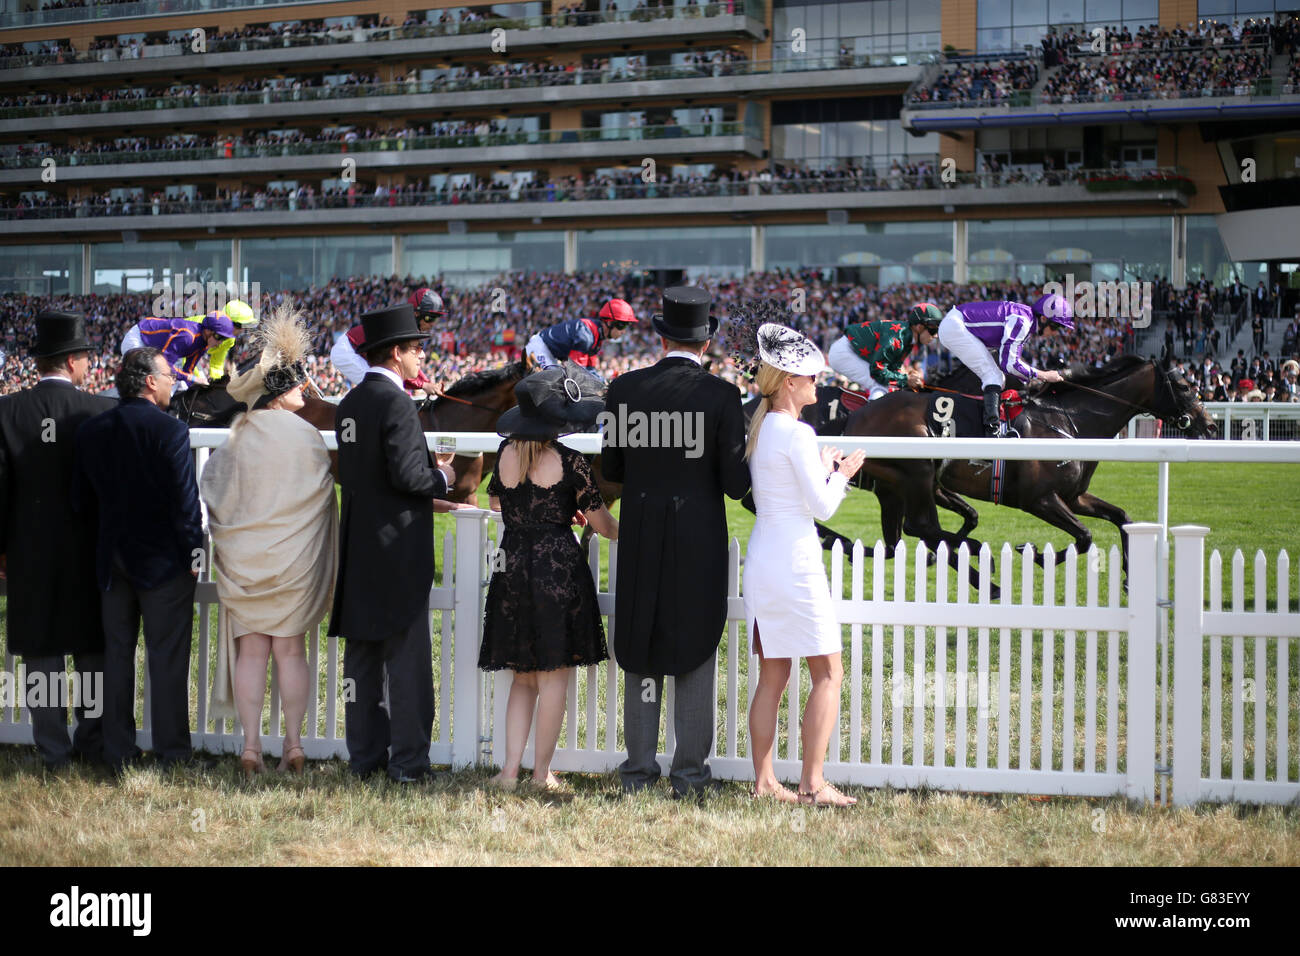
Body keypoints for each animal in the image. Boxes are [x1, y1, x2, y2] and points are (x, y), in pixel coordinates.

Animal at [847, 356, 1211, 587]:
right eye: (1184, 386)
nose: (1208, 425)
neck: (1070, 423)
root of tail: (858, 419)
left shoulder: (1074, 497)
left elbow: (1121, 517)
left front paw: (1127, 574)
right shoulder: (1039, 499)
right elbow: (1084, 536)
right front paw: (1031, 553)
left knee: (916, 531)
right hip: (915, 475)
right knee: (919, 526)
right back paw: (980, 562)